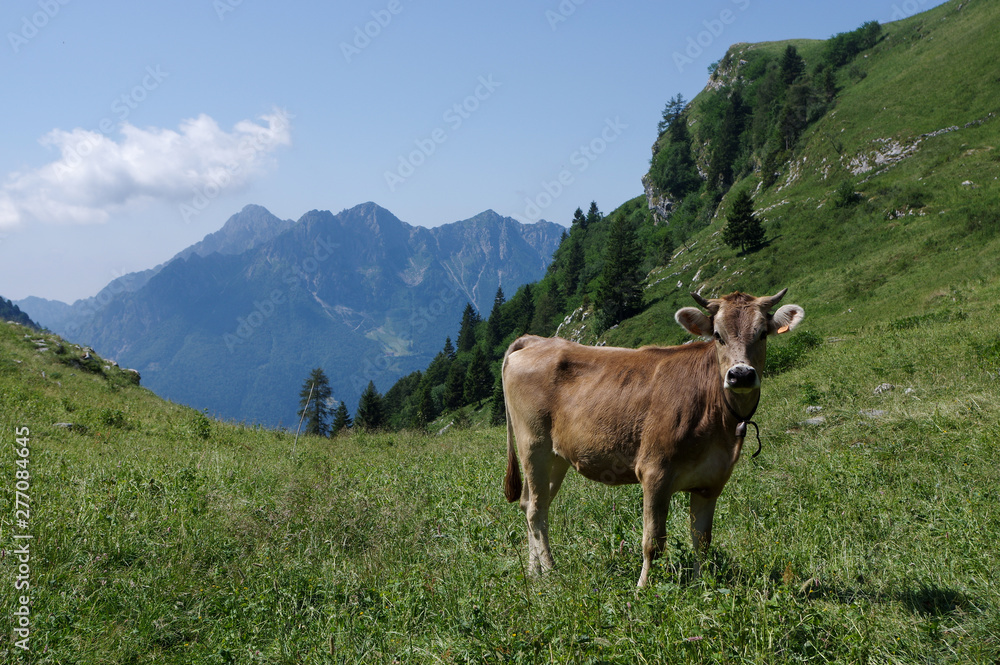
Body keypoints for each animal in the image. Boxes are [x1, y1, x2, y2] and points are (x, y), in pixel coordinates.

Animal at [500, 290, 804, 588]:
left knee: (532, 504)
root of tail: (535, 340)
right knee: (535, 509)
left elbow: (702, 541)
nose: (740, 375)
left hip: (556, 456)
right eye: (718, 335)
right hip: (533, 444)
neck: (716, 415)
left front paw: (701, 586)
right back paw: (550, 572)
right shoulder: (655, 471)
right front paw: (643, 589)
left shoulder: (712, 481)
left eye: (762, 334)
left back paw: (534, 572)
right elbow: (653, 542)